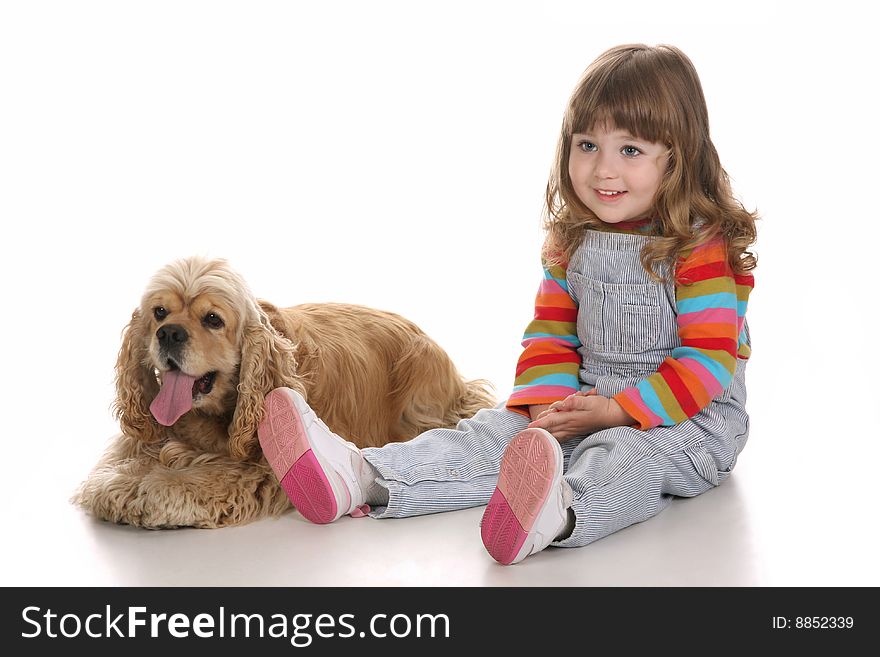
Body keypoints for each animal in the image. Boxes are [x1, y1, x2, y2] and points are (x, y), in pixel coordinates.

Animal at [73, 256, 496, 528]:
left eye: (213, 319)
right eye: (159, 312)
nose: (169, 333)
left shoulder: (256, 470)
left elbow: (194, 479)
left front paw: (143, 489)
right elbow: (117, 463)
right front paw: (117, 481)